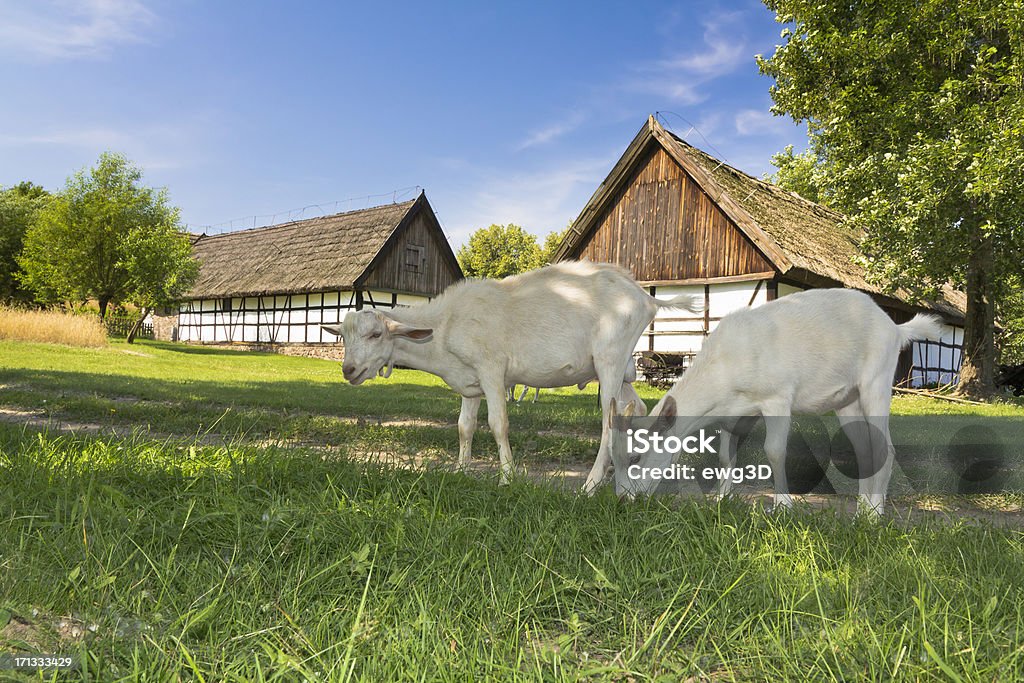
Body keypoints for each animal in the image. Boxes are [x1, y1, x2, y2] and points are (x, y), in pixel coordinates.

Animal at [323, 262, 700, 491]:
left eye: (375, 335)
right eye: (343, 337)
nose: (348, 370)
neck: (444, 326)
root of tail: (644, 297)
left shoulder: (491, 370)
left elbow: (497, 423)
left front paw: (507, 477)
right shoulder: (470, 384)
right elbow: (465, 426)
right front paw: (461, 470)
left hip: (610, 359)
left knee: (610, 422)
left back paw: (590, 485)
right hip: (623, 373)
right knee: (637, 409)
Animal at [610, 288, 937, 518]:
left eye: (636, 457)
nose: (623, 499)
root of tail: (896, 329)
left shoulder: (777, 398)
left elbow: (775, 451)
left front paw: (783, 507)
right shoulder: (735, 413)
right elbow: (726, 456)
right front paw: (720, 501)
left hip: (876, 380)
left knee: (885, 448)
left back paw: (874, 516)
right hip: (849, 401)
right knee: (865, 449)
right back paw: (861, 510)